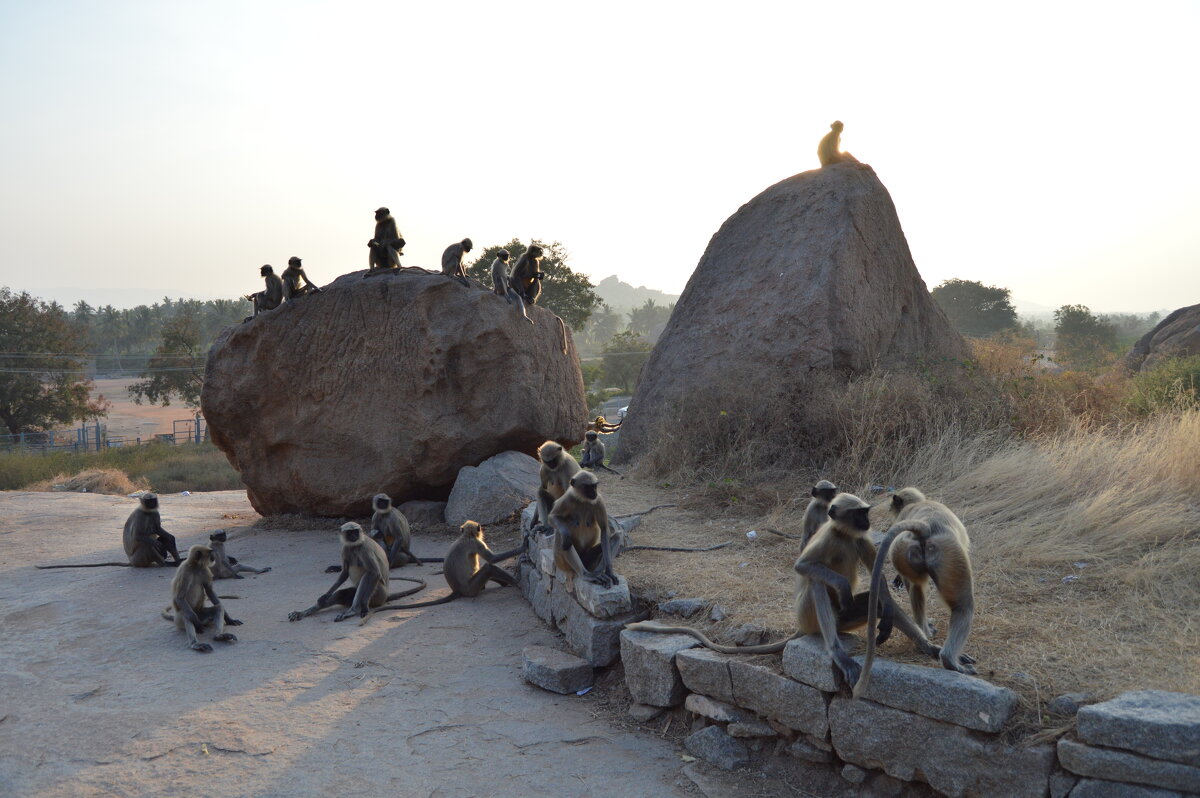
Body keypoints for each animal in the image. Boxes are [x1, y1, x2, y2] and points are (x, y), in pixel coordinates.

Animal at [288, 520, 424, 624]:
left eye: (356, 531)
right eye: (350, 532)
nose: (354, 536)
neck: (354, 545)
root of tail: (386, 596)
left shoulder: (364, 549)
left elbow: (374, 573)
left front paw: (362, 608)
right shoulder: (345, 548)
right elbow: (344, 572)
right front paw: (325, 595)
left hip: (377, 595)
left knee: (367, 576)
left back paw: (353, 610)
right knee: (340, 594)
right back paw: (301, 613)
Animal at [369, 523, 520, 609]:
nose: (481, 530)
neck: (465, 537)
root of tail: (457, 590)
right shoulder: (476, 543)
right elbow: (492, 559)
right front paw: (522, 546)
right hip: (471, 589)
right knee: (489, 568)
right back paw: (515, 583)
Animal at [854, 484, 974, 696]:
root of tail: (924, 525)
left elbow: (910, 585)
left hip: (904, 548)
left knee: (916, 587)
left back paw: (925, 635)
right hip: (948, 552)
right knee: (963, 606)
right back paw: (950, 661)